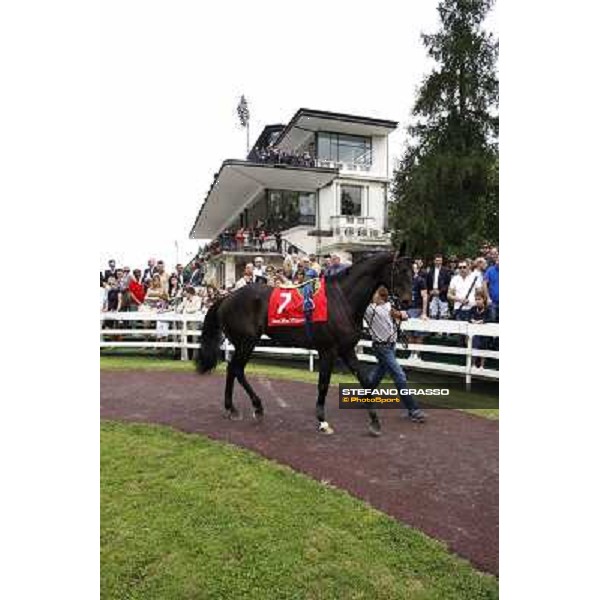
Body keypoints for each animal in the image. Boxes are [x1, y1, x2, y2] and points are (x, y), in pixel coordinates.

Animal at [196, 252, 412, 436]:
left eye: (411, 270)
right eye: (400, 270)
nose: (407, 301)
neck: (342, 299)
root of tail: (226, 298)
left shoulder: (347, 349)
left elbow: (365, 381)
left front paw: (374, 422)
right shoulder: (328, 350)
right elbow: (323, 383)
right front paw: (322, 421)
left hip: (244, 343)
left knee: (232, 369)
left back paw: (232, 407)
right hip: (246, 342)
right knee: (237, 369)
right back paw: (255, 406)